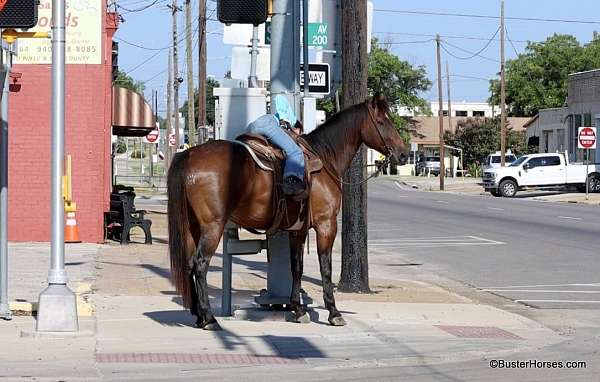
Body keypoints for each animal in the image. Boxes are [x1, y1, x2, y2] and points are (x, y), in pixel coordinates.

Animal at [169, 95, 412, 328]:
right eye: (382, 121)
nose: (403, 154)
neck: (325, 159)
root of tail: (188, 156)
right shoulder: (326, 225)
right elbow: (325, 268)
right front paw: (334, 313)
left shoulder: (298, 230)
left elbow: (297, 267)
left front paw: (298, 309)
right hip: (212, 226)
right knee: (200, 265)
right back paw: (209, 319)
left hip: (192, 226)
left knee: (189, 263)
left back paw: (199, 316)